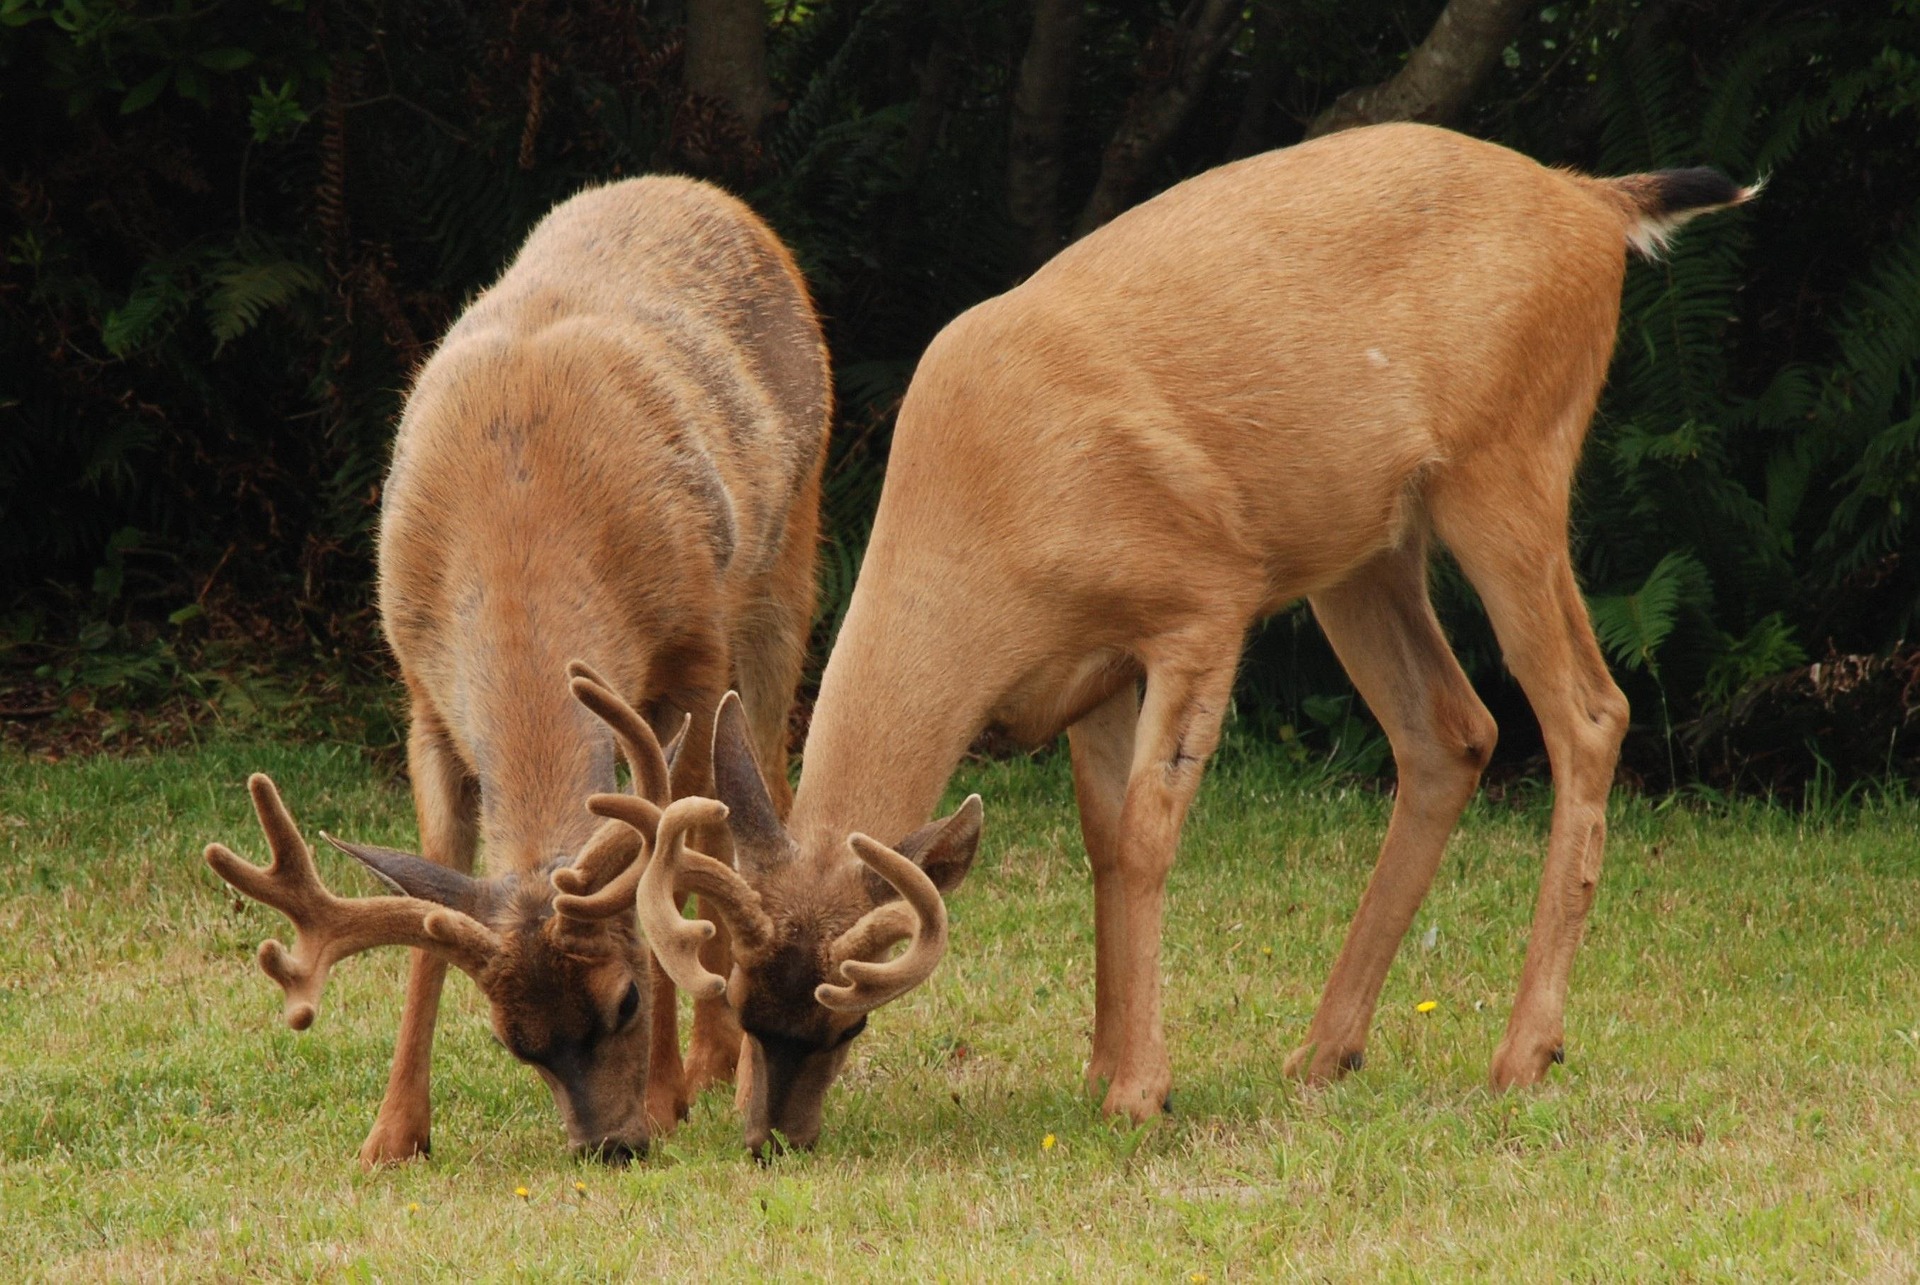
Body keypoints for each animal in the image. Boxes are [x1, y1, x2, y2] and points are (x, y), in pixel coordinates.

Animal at [205, 175, 830, 1165]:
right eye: (512, 1040)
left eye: (623, 1000)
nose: (611, 1144)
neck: (521, 524)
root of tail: (708, 193)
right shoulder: (422, 695)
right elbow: (432, 898)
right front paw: (392, 1132)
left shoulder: (692, 648)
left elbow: (671, 866)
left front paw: (668, 1093)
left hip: (784, 568)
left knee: (757, 789)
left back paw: (715, 1062)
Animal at [598, 123, 1755, 1153]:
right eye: (746, 1000)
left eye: (852, 1017)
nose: (769, 1138)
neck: (992, 520)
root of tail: (1594, 206)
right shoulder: (1094, 668)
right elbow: (1103, 837)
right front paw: (1103, 1066)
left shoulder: (1203, 599)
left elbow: (1152, 831)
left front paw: (1139, 1092)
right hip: (1366, 549)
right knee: (1452, 729)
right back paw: (1324, 1050)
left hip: (1507, 464)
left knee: (1588, 711)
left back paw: (1522, 1054)